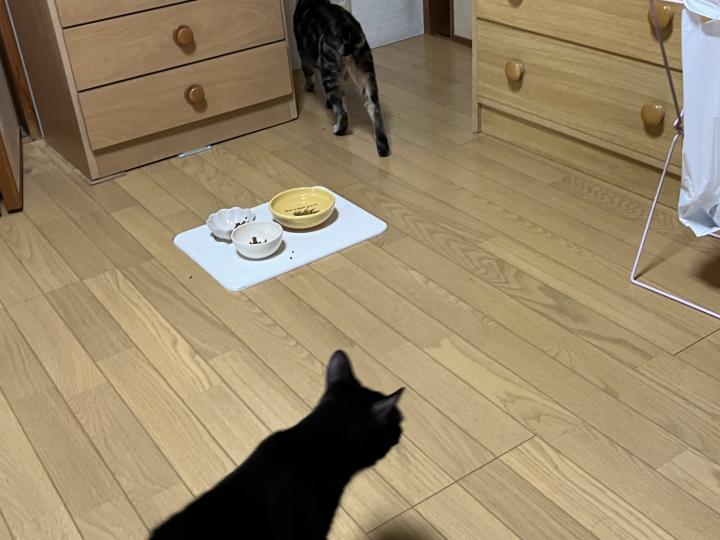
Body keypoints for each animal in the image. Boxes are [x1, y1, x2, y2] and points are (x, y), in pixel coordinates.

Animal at [294, 0, 391, 157]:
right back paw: (383, 149)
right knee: (375, 110)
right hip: (366, 72)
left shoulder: (304, 54)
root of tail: (349, 33)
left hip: (330, 71)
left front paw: (309, 88)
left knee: (342, 112)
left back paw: (337, 130)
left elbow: (308, 74)